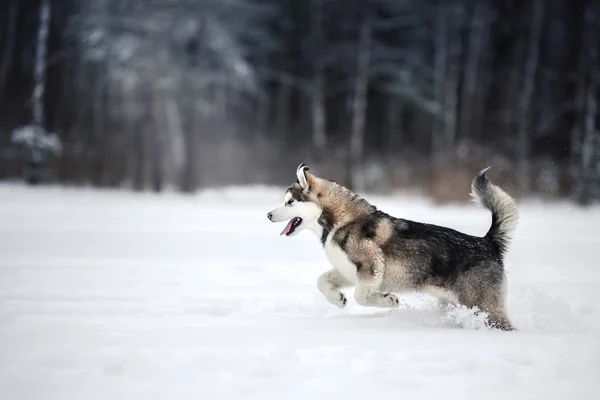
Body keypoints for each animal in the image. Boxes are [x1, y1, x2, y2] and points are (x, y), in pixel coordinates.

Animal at [264, 163, 516, 332]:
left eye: (289, 202)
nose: (268, 215)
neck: (339, 221)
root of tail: (487, 242)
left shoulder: (371, 264)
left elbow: (361, 296)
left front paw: (387, 300)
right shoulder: (350, 271)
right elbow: (322, 280)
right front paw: (337, 299)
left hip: (483, 306)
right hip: (454, 305)